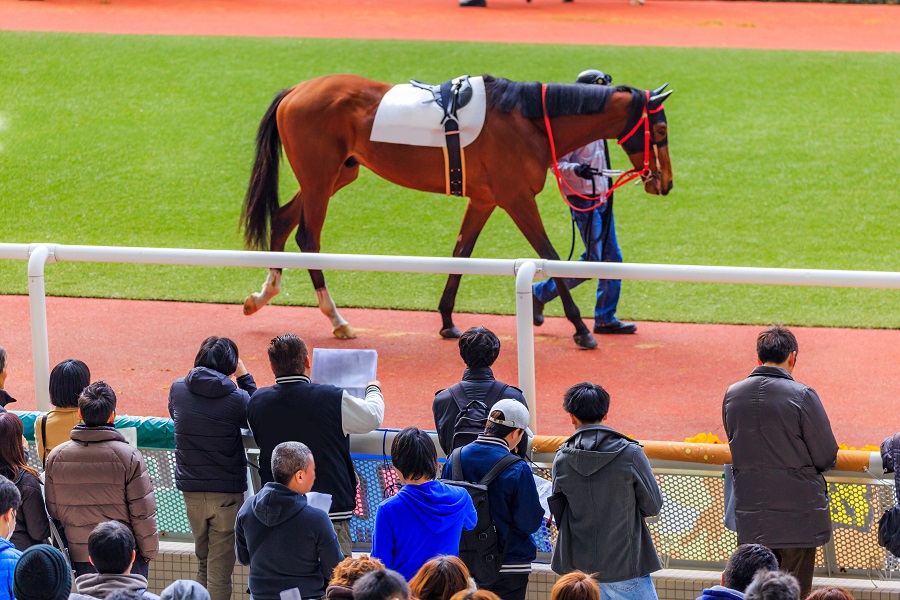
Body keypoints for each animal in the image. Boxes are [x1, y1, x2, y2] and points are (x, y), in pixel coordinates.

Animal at [236, 75, 672, 350]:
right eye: (661, 131)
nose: (664, 182)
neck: (528, 121)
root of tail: (296, 89)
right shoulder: (517, 198)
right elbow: (548, 256)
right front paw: (582, 329)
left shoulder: (484, 200)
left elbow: (461, 253)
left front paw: (447, 320)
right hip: (320, 176)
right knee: (307, 236)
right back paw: (336, 319)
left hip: (339, 172)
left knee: (283, 218)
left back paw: (262, 295)